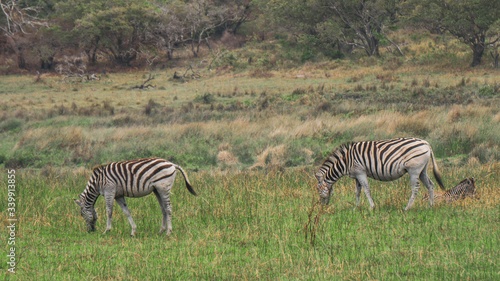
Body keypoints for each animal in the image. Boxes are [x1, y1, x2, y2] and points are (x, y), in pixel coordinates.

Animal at [316, 137, 446, 209]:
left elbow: (366, 189)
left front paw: (371, 207)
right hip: (422, 170)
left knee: (415, 188)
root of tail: (426, 143)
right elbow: (357, 192)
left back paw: (407, 208)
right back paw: (430, 206)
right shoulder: (356, 175)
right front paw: (356, 208)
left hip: (414, 170)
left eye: (317, 189)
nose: (322, 207)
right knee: (430, 185)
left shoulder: (360, 172)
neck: (345, 162)